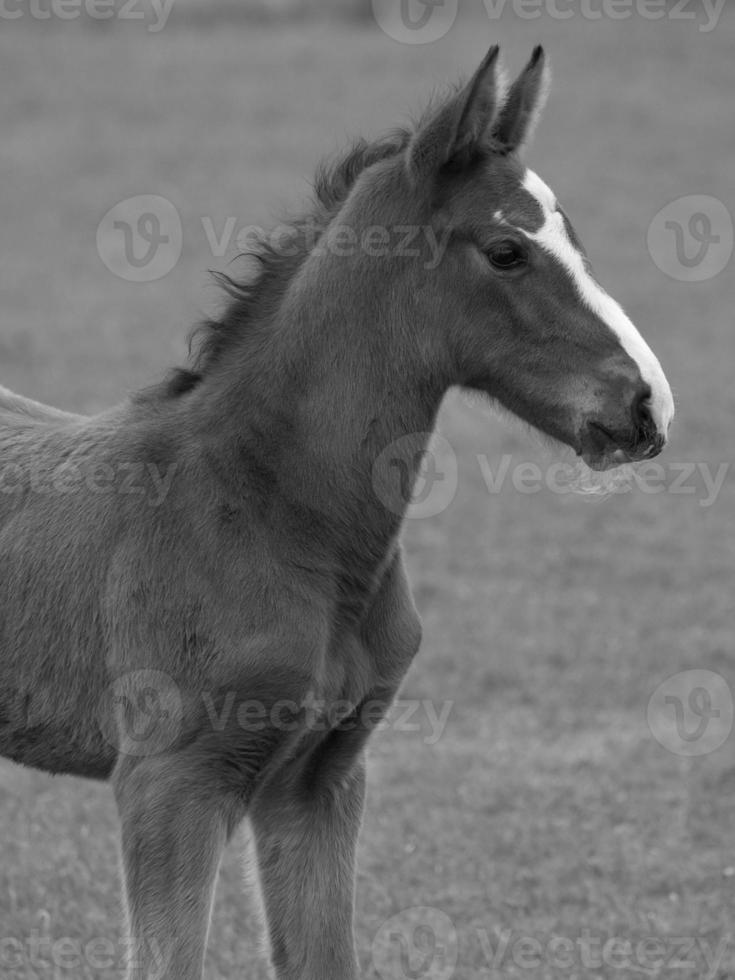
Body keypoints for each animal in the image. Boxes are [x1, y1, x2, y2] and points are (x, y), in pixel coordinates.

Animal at [0, 44, 676, 980]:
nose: (647, 405)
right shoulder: (168, 785)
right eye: (505, 250)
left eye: (574, 239)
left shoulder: (317, 783)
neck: (267, 511)